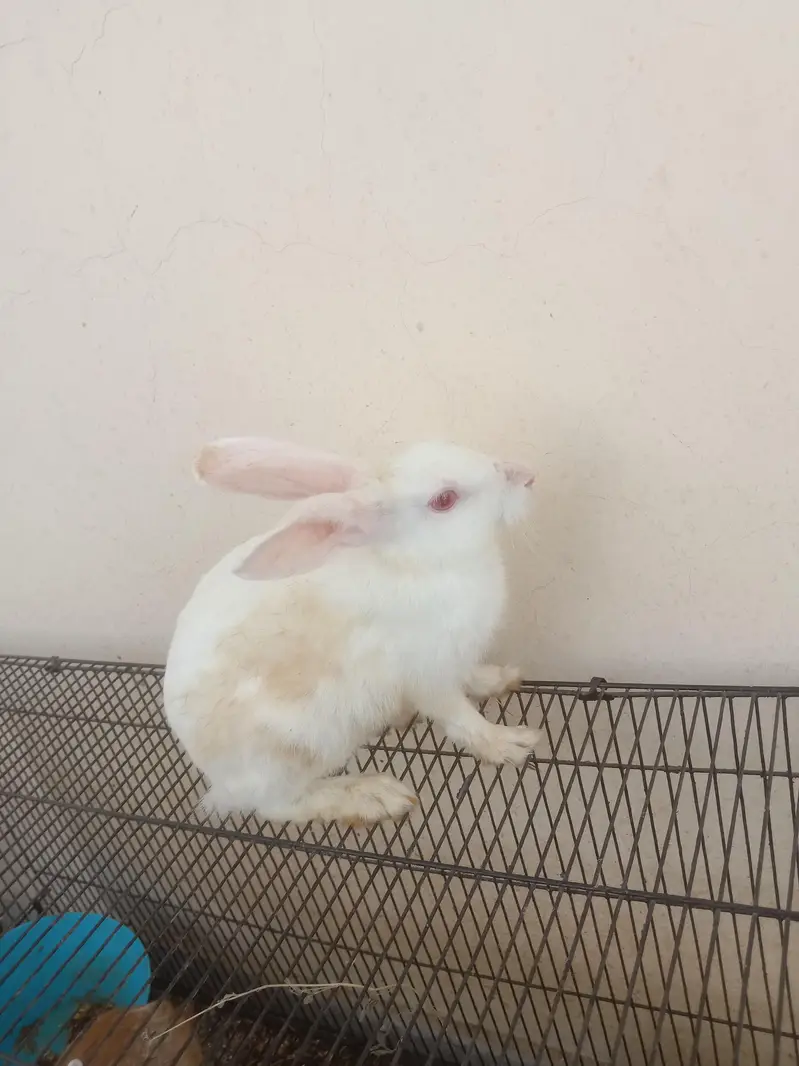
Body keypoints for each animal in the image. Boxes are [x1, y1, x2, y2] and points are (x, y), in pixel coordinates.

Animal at [163, 436, 541, 826]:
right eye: (444, 499)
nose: (527, 475)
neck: (414, 562)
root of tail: (217, 780)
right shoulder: (428, 676)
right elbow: (460, 718)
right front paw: (510, 743)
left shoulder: (456, 659)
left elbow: (473, 678)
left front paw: (501, 679)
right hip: (293, 754)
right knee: (281, 806)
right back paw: (376, 796)